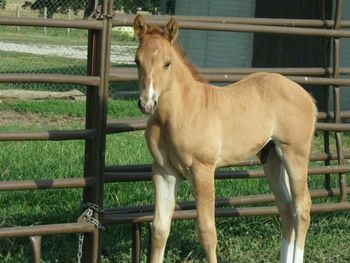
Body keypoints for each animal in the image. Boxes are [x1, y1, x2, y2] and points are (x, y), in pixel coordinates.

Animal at [133, 14, 318, 263]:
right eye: (137, 61)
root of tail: (306, 95)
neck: (181, 111)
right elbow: (160, 229)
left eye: (167, 63)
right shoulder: (164, 171)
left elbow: (207, 231)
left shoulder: (202, 169)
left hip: (295, 154)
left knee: (302, 207)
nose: (147, 103)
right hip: (272, 159)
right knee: (287, 210)